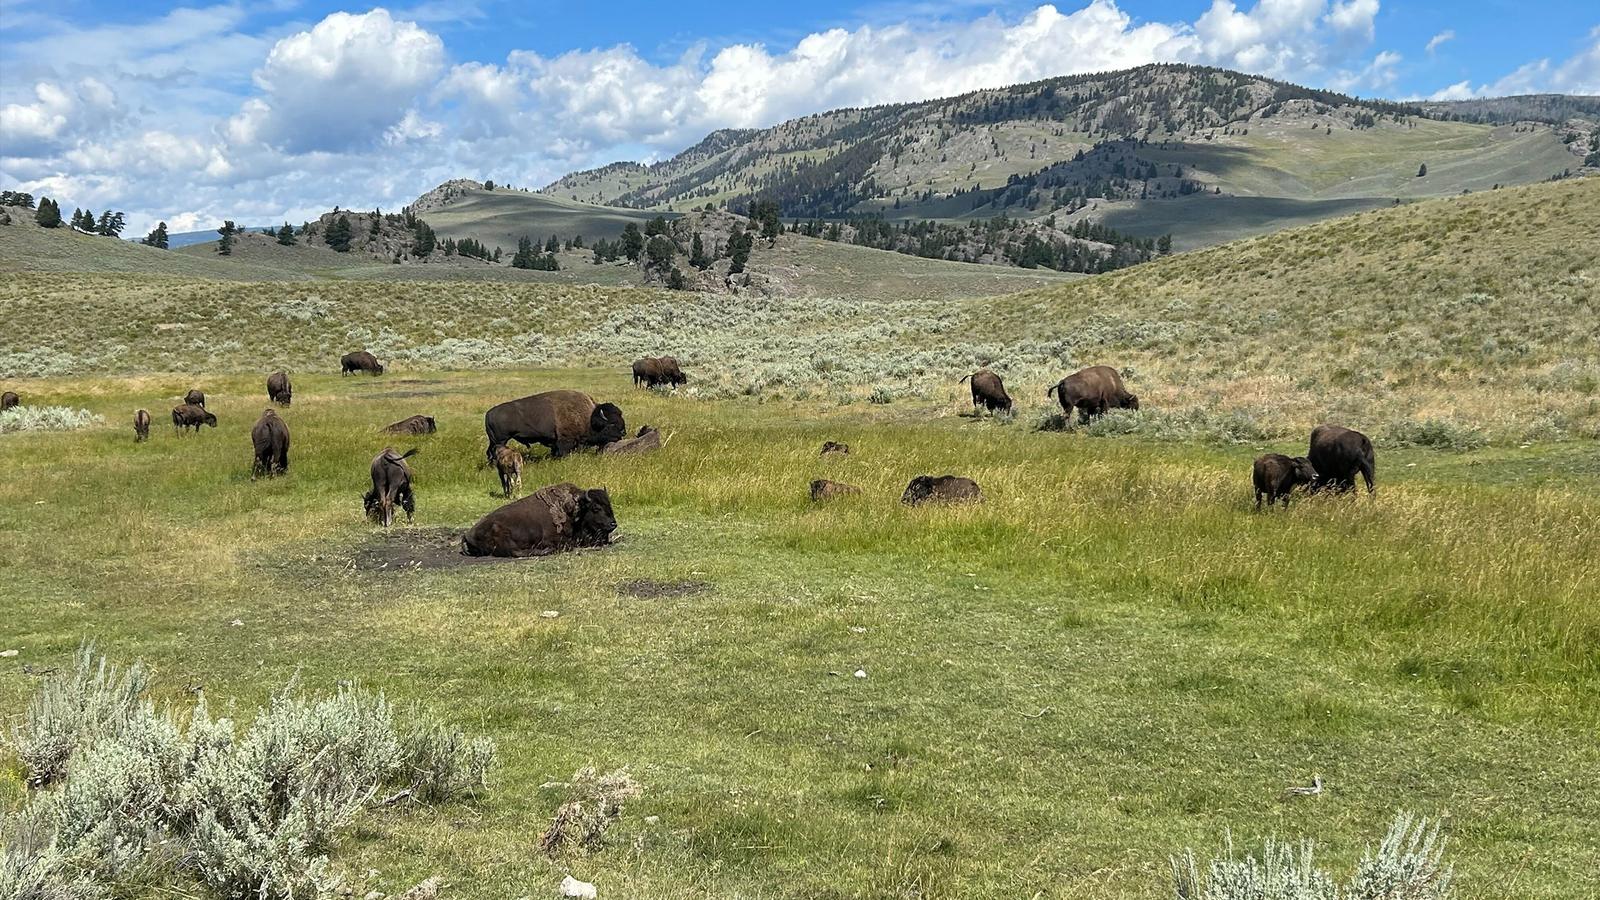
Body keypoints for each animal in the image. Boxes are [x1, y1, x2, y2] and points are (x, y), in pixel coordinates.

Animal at [464, 480, 617, 557]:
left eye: (609, 505)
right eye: (596, 508)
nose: (613, 524)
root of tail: (467, 535)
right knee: (516, 552)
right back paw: (545, 551)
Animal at [480, 389, 624, 461]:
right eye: (612, 424)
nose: (623, 433)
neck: (589, 417)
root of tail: (488, 414)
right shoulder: (565, 440)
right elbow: (562, 452)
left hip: (494, 441)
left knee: (489, 452)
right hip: (501, 440)